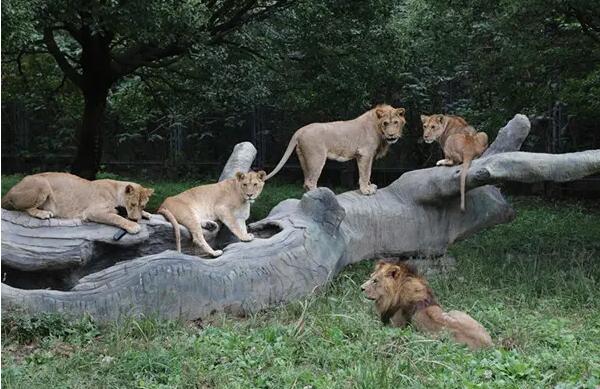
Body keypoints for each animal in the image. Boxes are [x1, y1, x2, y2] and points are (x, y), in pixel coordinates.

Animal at [1, 171, 155, 232]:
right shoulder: (93, 212)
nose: (135, 219)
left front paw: (147, 214)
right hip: (42, 183)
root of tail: (9, 191)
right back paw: (43, 213)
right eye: (132, 204)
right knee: (25, 208)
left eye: (143, 206)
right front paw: (133, 225)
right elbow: (116, 217)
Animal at [264, 104, 406, 194]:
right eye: (385, 123)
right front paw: (366, 190)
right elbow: (365, 173)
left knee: (305, 182)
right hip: (316, 158)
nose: (391, 135)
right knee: (310, 182)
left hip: (303, 159)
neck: (378, 128)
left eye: (395, 122)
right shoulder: (365, 153)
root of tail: (300, 130)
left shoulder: (366, 155)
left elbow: (367, 172)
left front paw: (370, 186)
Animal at [360, 260, 492, 348]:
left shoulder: (394, 325)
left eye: (375, 281)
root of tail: (489, 345)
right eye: (371, 277)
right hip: (454, 311)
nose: (361, 288)